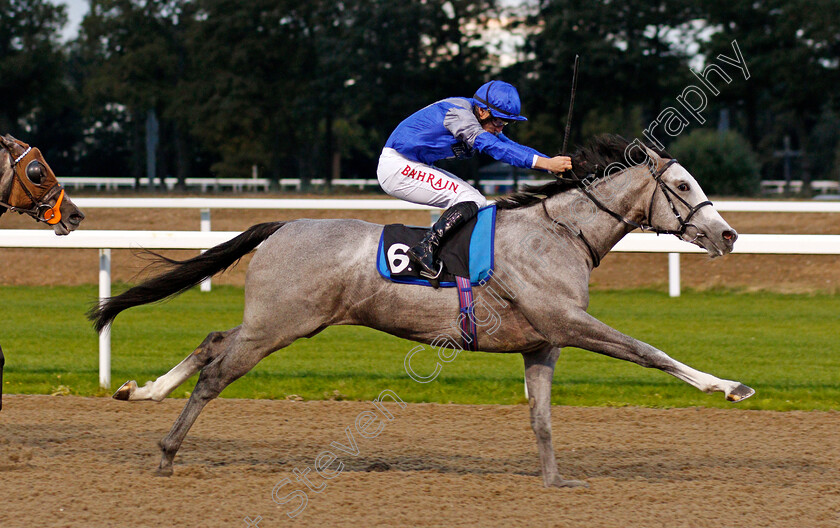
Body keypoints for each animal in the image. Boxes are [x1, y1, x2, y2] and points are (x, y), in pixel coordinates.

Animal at [90, 135, 756, 486]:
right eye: (685, 187)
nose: (728, 236)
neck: (559, 233)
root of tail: (283, 224)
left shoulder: (543, 342)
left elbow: (541, 418)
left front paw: (554, 480)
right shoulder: (569, 323)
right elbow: (651, 352)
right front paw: (729, 386)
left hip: (276, 321)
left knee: (211, 339)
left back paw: (139, 391)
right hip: (279, 325)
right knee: (216, 374)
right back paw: (166, 452)